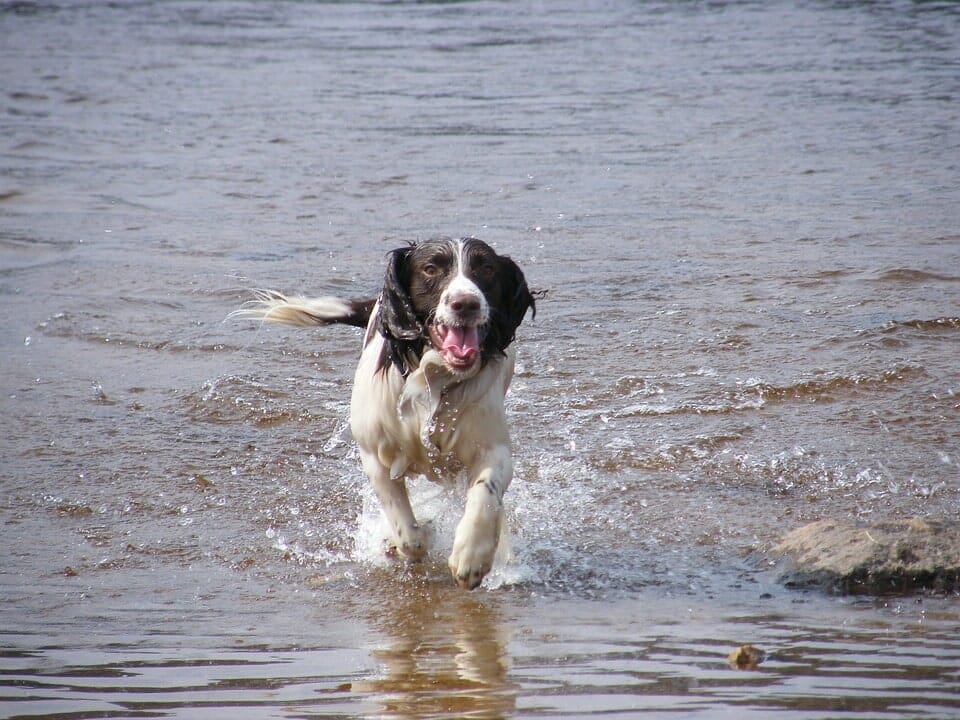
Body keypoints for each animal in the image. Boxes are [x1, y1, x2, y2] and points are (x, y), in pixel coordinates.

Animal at [231, 239, 532, 588]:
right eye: (431, 268)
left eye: (487, 269)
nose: (465, 303)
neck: (433, 376)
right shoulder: (375, 453)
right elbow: (408, 534)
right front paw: (411, 538)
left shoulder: (492, 450)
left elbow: (486, 493)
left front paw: (472, 556)